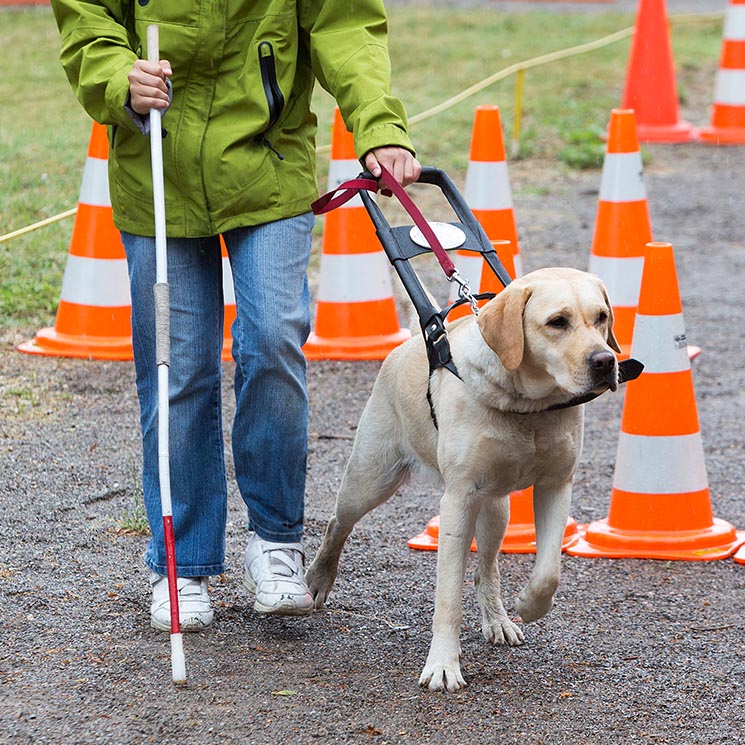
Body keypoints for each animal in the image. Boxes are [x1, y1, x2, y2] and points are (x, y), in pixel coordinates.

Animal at [306, 268, 620, 692]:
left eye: (601, 317)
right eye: (558, 322)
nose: (606, 361)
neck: (527, 406)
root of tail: (409, 343)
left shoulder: (556, 486)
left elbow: (548, 573)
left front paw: (528, 605)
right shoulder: (457, 502)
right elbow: (448, 598)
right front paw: (442, 664)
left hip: (497, 510)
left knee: (486, 568)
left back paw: (498, 619)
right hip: (369, 480)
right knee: (337, 524)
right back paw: (318, 578)